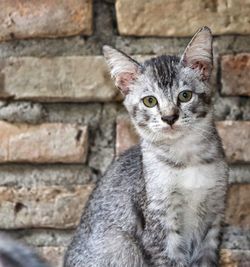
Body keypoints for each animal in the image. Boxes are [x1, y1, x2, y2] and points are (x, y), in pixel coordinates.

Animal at [64, 26, 229, 266]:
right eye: (149, 101)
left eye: (185, 95)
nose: (169, 117)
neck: (187, 160)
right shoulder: (158, 226)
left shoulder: (213, 219)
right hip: (122, 244)